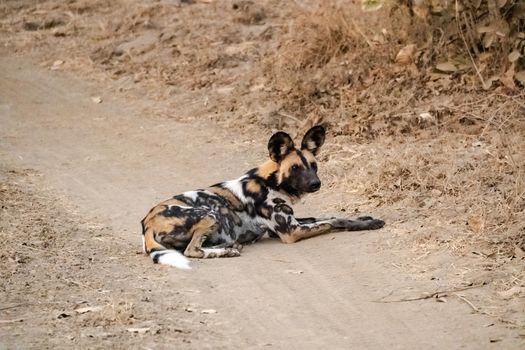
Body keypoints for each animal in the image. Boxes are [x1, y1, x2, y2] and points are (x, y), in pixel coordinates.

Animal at [141, 125, 382, 268]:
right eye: (295, 168)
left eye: (313, 166)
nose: (316, 183)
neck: (271, 183)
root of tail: (147, 225)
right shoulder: (291, 231)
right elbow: (331, 223)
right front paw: (368, 223)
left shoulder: (292, 222)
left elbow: (332, 217)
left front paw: (366, 220)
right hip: (208, 214)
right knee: (191, 251)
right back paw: (226, 252)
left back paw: (229, 247)